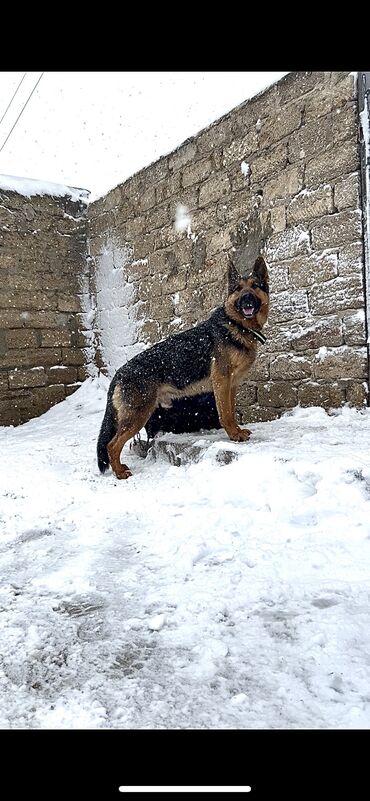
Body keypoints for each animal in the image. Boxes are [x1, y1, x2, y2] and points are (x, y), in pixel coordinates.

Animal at [95, 255, 268, 476]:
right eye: (238, 289)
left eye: (255, 286)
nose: (246, 299)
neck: (236, 325)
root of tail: (119, 373)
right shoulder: (221, 381)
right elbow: (226, 414)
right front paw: (234, 436)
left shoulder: (231, 385)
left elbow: (231, 410)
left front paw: (237, 431)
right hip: (138, 415)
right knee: (112, 445)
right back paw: (120, 473)